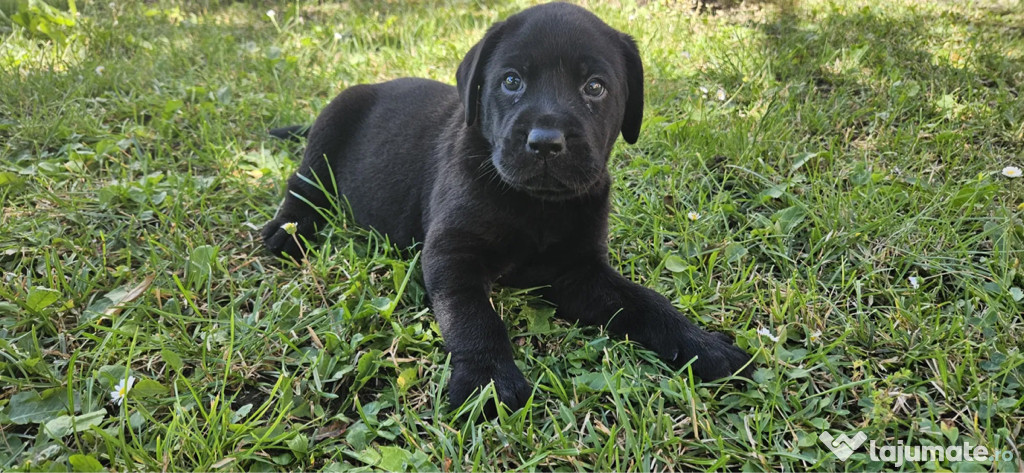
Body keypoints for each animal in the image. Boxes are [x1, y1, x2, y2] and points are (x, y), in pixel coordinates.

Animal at [262, 2, 753, 409]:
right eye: (511, 81)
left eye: (595, 87)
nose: (546, 142)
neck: (536, 206)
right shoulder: (451, 253)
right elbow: (473, 318)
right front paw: (488, 379)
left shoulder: (581, 272)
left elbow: (648, 302)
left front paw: (704, 346)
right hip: (331, 124)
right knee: (301, 184)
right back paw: (286, 232)